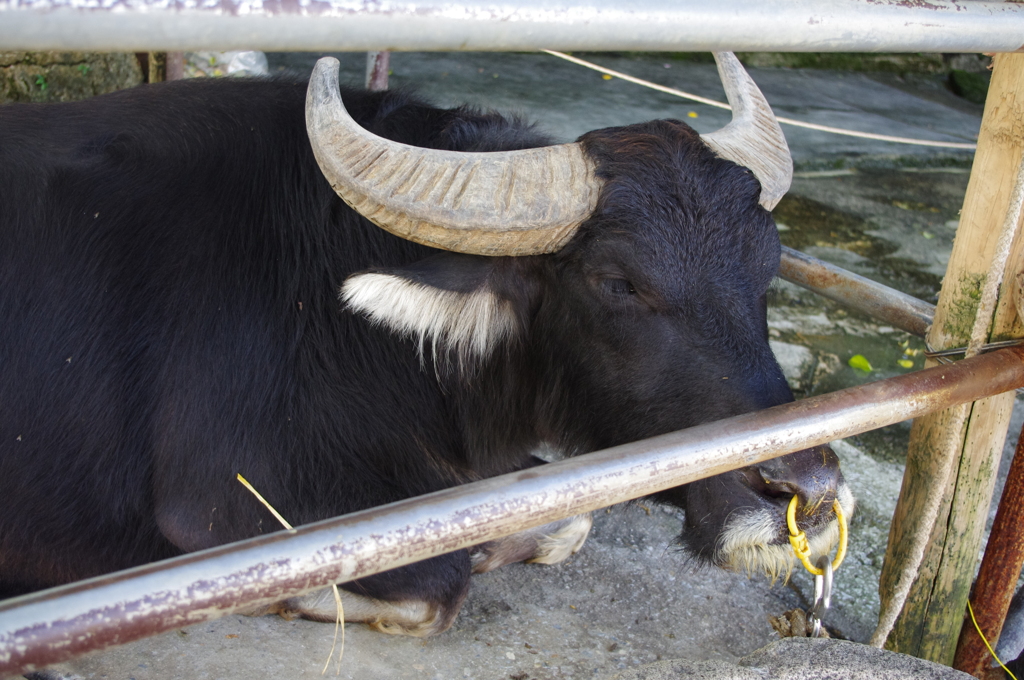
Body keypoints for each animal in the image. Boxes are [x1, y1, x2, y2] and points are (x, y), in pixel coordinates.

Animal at [0, 54, 847, 639]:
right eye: (618, 282)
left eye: (767, 263)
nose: (807, 491)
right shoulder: (226, 506)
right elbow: (433, 582)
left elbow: (568, 521)